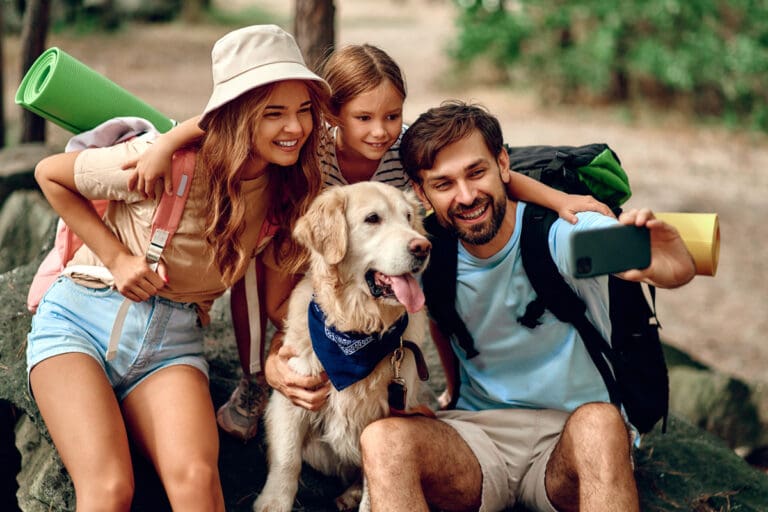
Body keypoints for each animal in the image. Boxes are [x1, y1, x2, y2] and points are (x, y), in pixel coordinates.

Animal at [254, 183, 428, 512]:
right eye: (373, 218)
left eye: (409, 217)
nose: (423, 247)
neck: (355, 330)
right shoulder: (292, 393)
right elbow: (287, 459)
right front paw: (273, 502)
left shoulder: (385, 419)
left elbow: (375, 481)